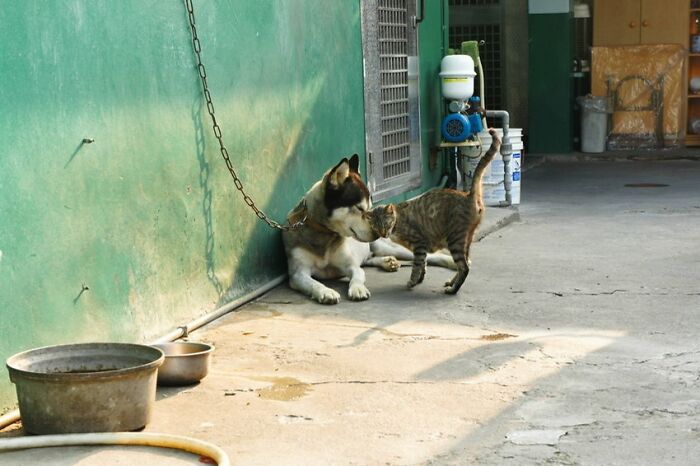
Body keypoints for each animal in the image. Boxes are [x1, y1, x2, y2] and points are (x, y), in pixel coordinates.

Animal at [370, 129, 500, 294]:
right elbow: (423, 265)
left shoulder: (419, 244)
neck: (398, 221)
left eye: (386, 224)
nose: (383, 234)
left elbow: (417, 266)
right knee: (463, 265)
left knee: (464, 267)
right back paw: (452, 283)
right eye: (376, 227)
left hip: (455, 239)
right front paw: (419, 279)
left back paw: (453, 289)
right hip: (467, 240)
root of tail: (468, 195)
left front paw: (412, 282)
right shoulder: (420, 249)